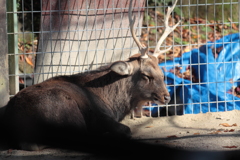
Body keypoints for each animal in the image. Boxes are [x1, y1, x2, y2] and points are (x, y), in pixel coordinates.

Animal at [2, 0, 180, 151]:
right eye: (146, 75)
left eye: (162, 74)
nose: (166, 97)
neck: (115, 104)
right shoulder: (101, 117)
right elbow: (127, 130)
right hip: (68, 111)